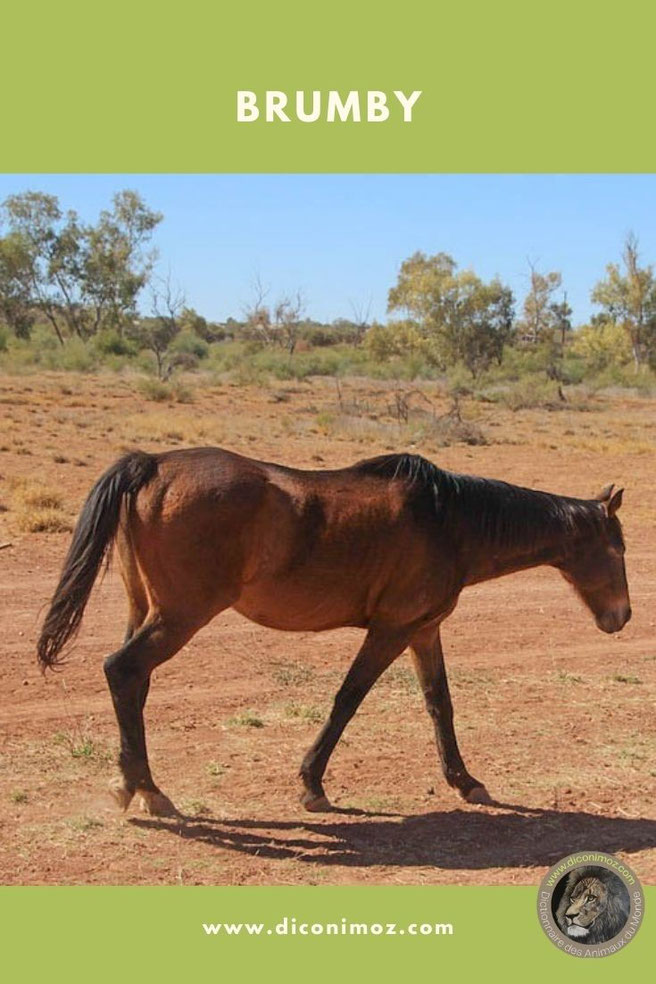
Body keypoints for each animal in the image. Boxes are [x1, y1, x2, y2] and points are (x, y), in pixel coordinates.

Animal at [37, 448, 632, 816]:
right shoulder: (391, 630)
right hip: (179, 615)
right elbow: (348, 699)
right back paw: (149, 792)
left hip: (145, 610)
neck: (451, 521)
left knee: (131, 685)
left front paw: (466, 781)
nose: (622, 616)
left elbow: (439, 704)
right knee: (122, 671)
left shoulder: (423, 631)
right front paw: (312, 785)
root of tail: (153, 465)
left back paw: (130, 785)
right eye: (619, 548)